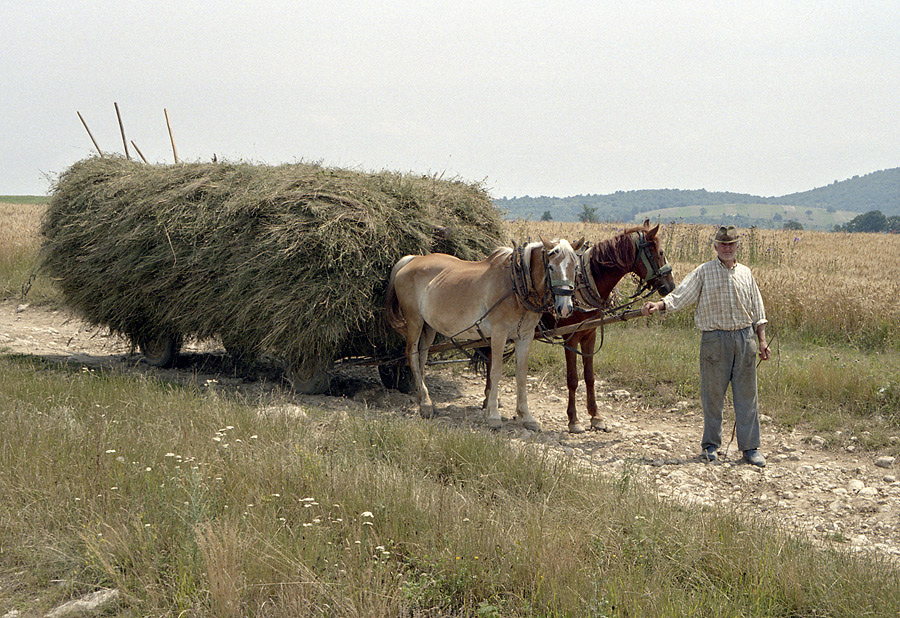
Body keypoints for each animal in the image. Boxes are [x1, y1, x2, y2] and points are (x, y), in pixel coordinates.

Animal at [382, 236, 584, 428]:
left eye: (576, 267)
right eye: (550, 267)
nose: (565, 308)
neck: (516, 285)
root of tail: (413, 259)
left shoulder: (525, 337)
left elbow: (521, 375)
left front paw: (526, 416)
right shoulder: (498, 334)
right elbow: (495, 371)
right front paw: (493, 415)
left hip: (428, 326)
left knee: (422, 357)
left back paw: (422, 397)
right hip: (414, 321)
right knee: (412, 354)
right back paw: (425, 404)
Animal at [482, 223, 672, 434]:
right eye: (660, 252)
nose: (670, 285)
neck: (587, 282)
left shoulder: (590, 334)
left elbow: (589, 377)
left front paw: (596, 416)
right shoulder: (570, 337)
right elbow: (572, 379)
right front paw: (574, 420)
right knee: (490, 359)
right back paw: (490, 400)